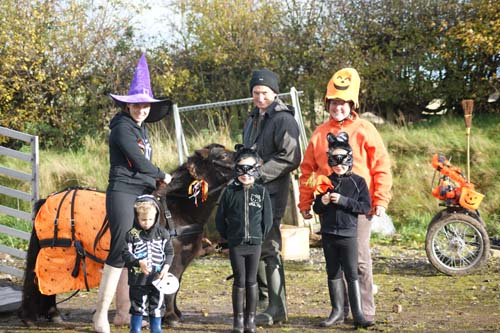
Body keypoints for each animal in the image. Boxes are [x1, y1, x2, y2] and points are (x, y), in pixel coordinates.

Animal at [17, 143, 232, 324]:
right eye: (222, 156)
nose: (241, 163)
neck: (175, 210)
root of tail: (46, 200)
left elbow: (175, 285)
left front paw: (174, 313)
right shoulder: (174, 259)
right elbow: (171, 286)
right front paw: (171, 317)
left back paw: (51, 314)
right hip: (57, 254)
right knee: (41, 281)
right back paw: (35, 316)